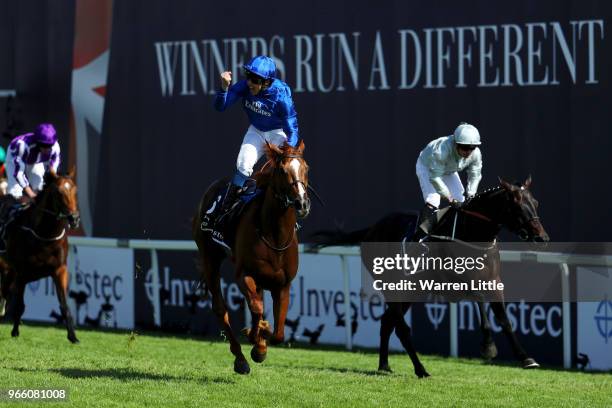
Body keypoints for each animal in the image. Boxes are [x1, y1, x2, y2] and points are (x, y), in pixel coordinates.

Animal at [0, 171, 80, 342]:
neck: (45, 235)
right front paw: (15, 332)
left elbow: (64, 305)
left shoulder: (59, 270)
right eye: (58, 192)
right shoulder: (22, 273)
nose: (74, 218)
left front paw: (73, 336)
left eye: (75, 190)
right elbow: (19, 306)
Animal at [192, 140, 310, 372]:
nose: (302, 203)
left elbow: (279, 333)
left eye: (306, 168)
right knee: (220, 308)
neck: (274, 237)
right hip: (210, 257)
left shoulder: (283, 284)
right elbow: (256, 309)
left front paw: (262, 339)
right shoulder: (244, 275)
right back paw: (240, 359)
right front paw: (256, 343)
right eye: (282, 171)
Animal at [314, 177, 548, 378]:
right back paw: (421, 370)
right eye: (517, 205)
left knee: (387, 322)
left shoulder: (494, 282)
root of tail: (372, 229)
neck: (471, 233)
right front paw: (488, 346)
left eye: (535, 202)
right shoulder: (457, 283)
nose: (542, 238)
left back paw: (384, 365)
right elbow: (480, 302)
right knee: (401, 328)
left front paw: (526, 358)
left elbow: (504, 319)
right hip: (392, 286)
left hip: (411, 291)